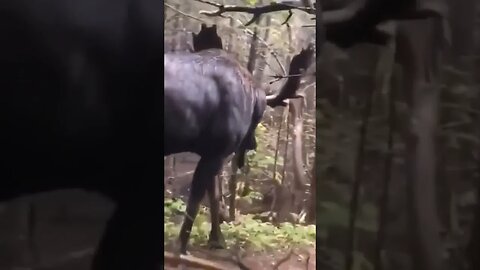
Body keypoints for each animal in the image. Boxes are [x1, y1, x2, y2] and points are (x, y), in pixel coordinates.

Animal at [165, 24, 316, 254]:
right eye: (259, 115)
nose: (253, 143)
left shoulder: (212, 153)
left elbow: (214, 197)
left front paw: (216, 239)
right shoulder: (216, 152)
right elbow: (197, 199)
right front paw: (181, 246)